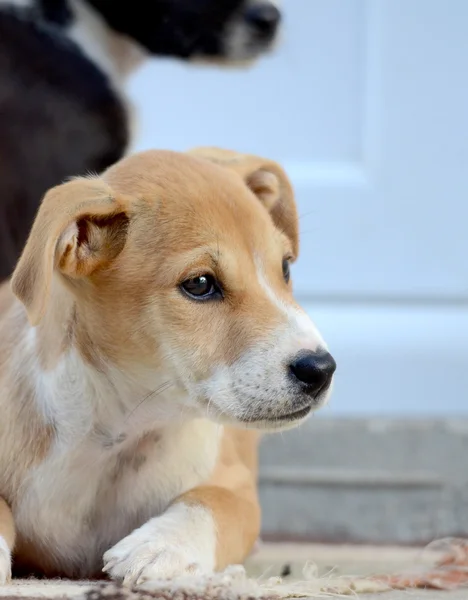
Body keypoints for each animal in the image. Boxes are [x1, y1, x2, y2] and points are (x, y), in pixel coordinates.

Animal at [0, 148, 336, 584]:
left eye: (285, 268)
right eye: (199, 284)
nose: (321, 369)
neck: (118, 435)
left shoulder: (236, 488)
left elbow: (208, 503)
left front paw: (160, 545)